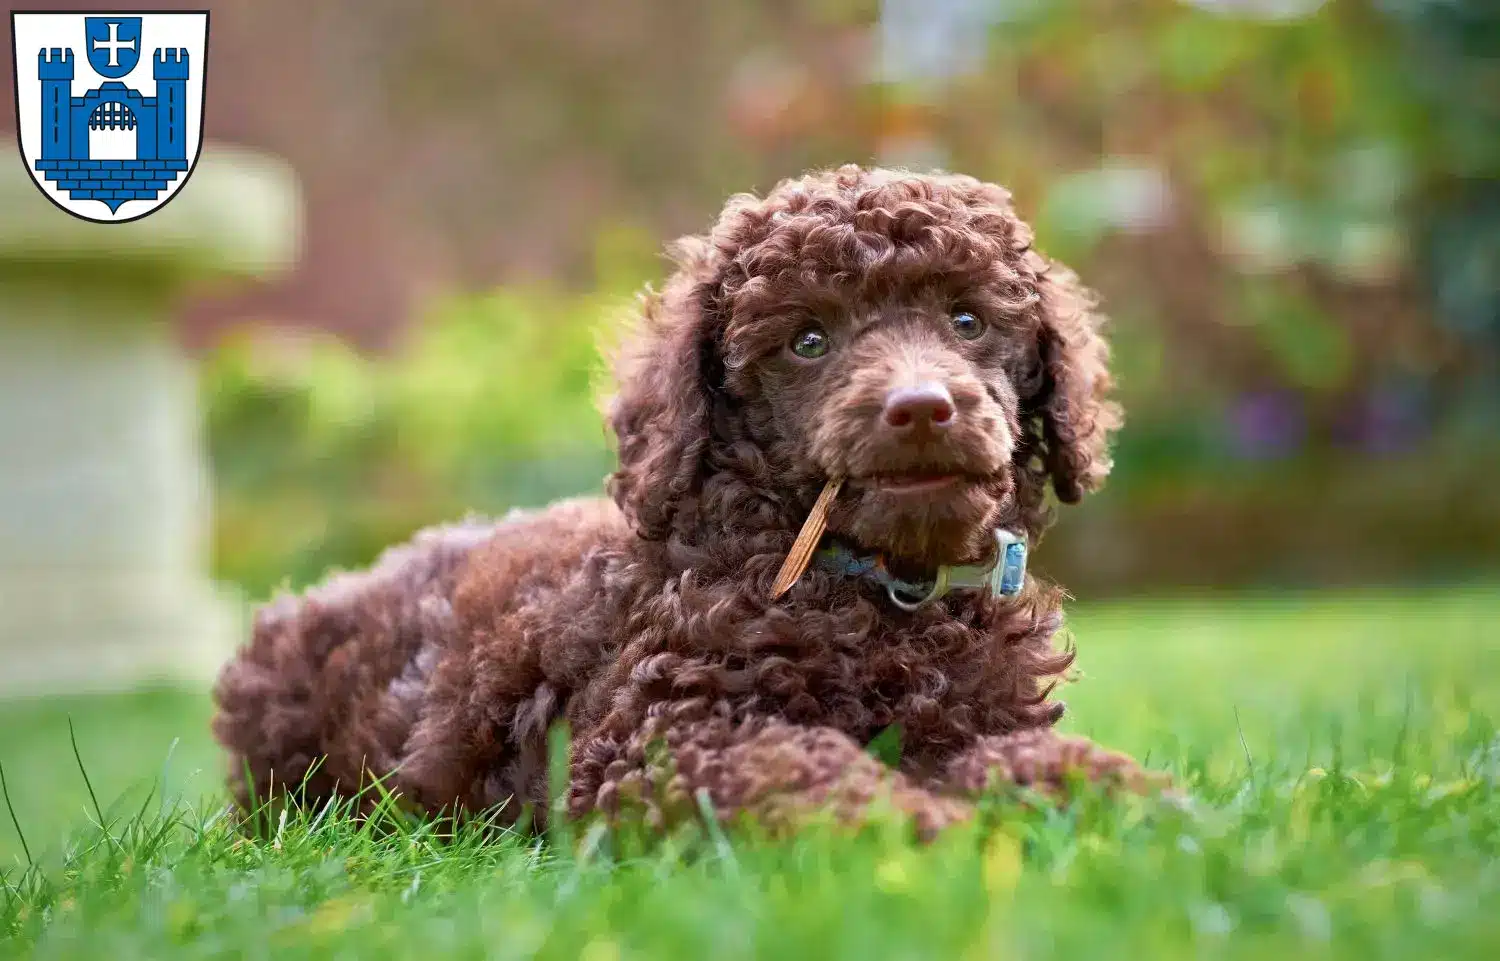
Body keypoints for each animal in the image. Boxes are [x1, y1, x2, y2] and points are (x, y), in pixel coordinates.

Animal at [208, 166, 1146, 839]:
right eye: (808, 341)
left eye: (967, 321)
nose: (921, 407)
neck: (883, 592)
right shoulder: (654, 743)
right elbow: (801, 767)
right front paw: (919, 826)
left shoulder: (979, 715)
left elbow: (1036, 754)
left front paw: (1128, 795)